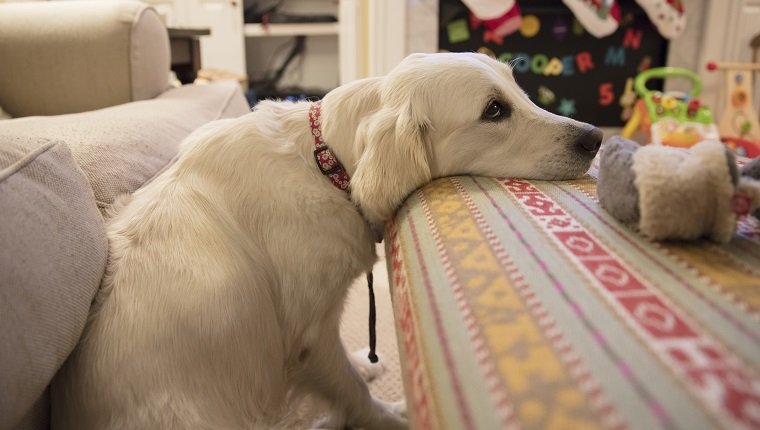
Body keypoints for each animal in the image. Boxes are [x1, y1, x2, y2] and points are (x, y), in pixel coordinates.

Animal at [52, 52, 600, 428]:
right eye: (494, 110)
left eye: (518, 92)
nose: (595, 138)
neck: (325, 164)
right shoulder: (308, 337)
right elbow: (352, 391)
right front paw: (391, 414)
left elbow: (350, 371)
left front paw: (365, 364)